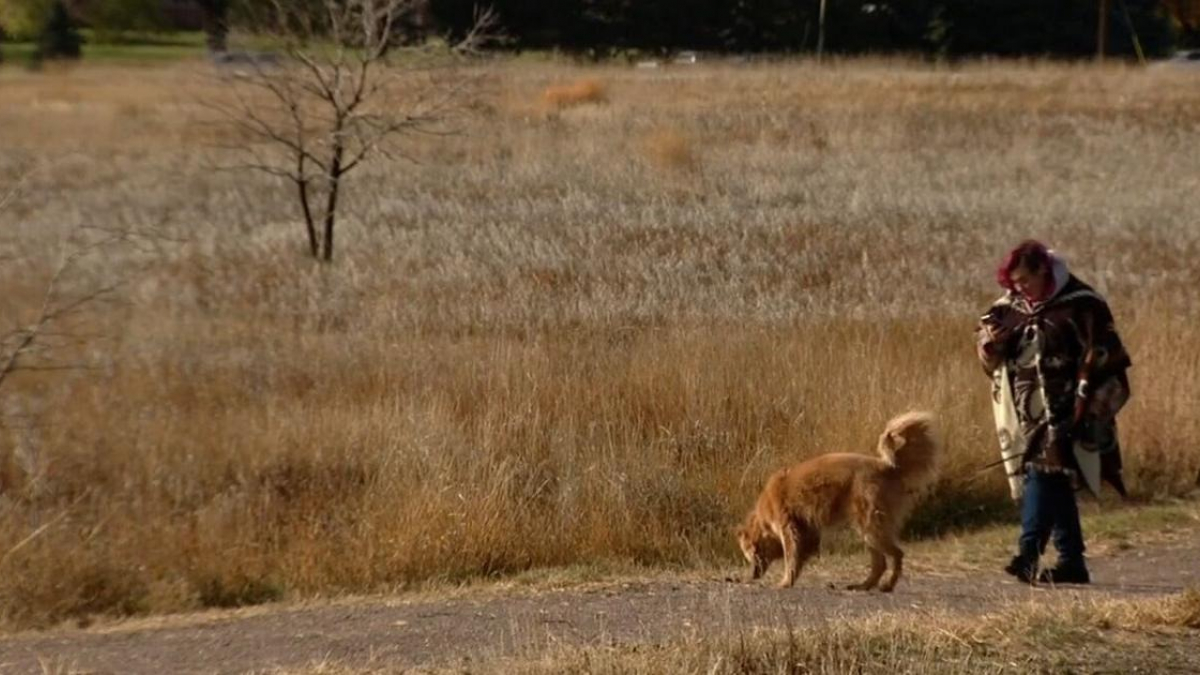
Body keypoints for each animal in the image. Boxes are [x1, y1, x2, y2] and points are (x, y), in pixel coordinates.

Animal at [734, 410, 940, 588]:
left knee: (895, 553)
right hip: (867, 526)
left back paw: (887, 585)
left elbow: (791, 553)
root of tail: (889, 467)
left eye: (751, 554)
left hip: (870, 520)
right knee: (879, 561)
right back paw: (863, 585)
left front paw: (784, 582)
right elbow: (803, 551)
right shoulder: (807, 528)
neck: (763, 516)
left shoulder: (788, 524)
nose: (752, 575)